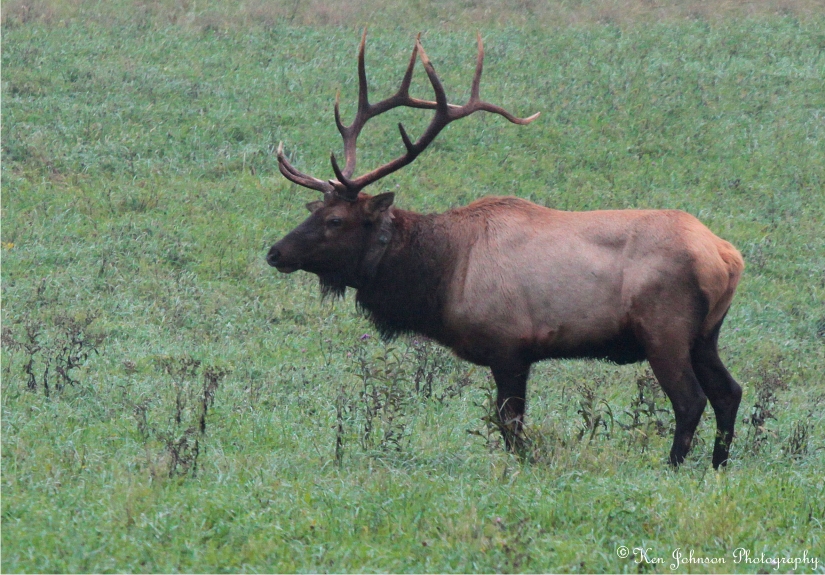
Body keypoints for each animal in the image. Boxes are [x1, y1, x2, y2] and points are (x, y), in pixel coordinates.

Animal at [267, 31, 744, 469]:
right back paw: (717, 466)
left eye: (335, 221)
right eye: (313, 209)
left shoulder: (509, 345)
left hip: (665, 327)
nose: (274, 252)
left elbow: (509, 424)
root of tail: (727, 256)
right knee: (729, 392)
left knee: (690, 400)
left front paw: (524, 465)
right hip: (705, 333)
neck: (442, 276)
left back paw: (675, 467)